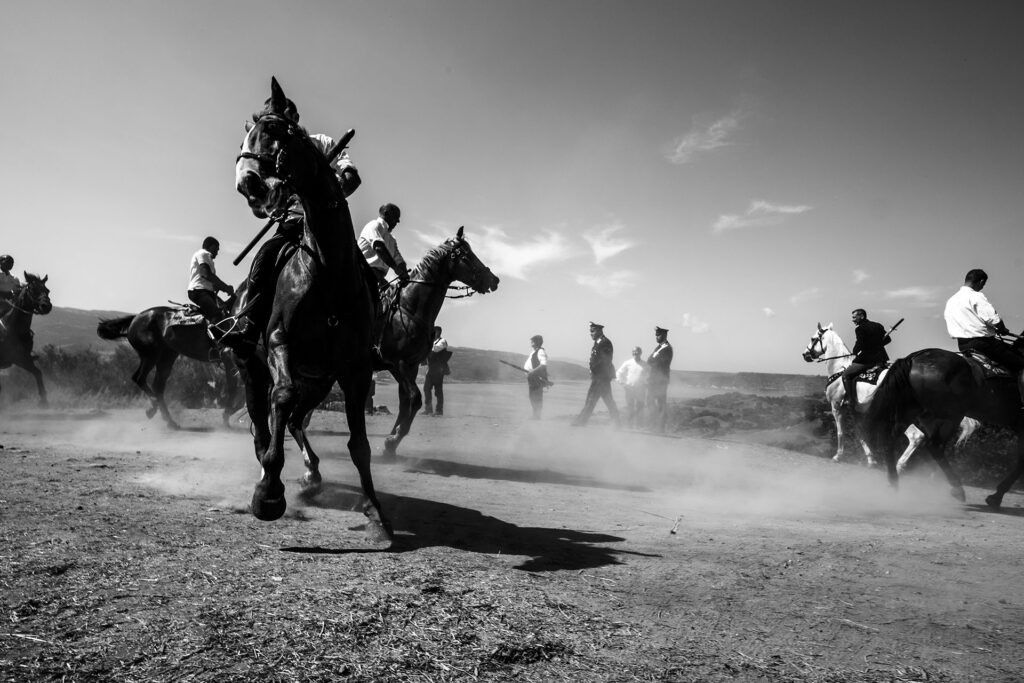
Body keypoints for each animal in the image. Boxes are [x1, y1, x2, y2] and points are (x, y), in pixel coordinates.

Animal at [0, 272, 52, 405]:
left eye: (47, 290)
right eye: (33, 290)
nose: (46, 306)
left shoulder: (25, 358)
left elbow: (38, 373)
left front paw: (44, 400)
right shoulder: (18, 358)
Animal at [96, 299, 243, 428]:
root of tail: (135, 318)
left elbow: (240, 396)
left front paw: (228, 415)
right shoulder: (228, 359)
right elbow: (234, 390)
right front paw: (226, 417)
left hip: (167, 357)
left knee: (157, 386)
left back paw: (168, 420)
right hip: (150, 356)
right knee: (139, 378)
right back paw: (153, 408)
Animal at [234, 78, 385, 540]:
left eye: (271, 130)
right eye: (245, 136)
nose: (248, 184)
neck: (329, 269)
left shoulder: (355, 368)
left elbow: (359, 444)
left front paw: (375, 511)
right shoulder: (280, 343)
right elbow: (279, 399)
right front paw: (268, 494)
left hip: (318, 380)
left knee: (296, 419)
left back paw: (311, 475)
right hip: (251, 364)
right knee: (263, 417)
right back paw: (270, 469)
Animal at [798, 323, 974, 466]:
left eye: (813, 338)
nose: (805, 355)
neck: (839, 367)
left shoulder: (836, 407)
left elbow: (841, 432)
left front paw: (838, 456)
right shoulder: (856, 411)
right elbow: (860, 433)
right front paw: (871, 459)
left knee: (916, 436)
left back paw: (900, 465)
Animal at [864, 350, 1024, 509]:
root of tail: (913, 358)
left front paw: (996, 496)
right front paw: (996, 496)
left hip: (913, 412)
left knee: (891, 440)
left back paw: (894, 483)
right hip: (951, 416)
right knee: (935, 446)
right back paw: (957, 488)